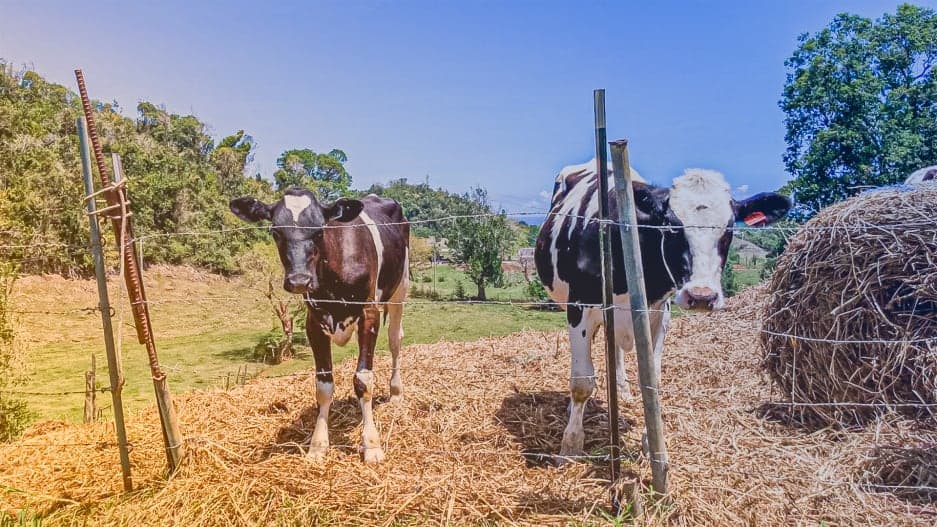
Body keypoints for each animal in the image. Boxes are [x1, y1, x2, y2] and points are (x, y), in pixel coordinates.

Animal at [229, 188, 408, 464]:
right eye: (276, 232)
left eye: (319, 231)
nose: (299, 280)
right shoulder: (313, 323)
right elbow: (323, 385)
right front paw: (318, 444)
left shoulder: (369, 314)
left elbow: (363, 380)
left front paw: (372, 445)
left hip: (400, 287)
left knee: (395, 340)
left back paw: (396, 391)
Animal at [532, 160, 788, 462]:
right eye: (672, 227)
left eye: (728, 231)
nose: (702, 296)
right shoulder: (579, 306)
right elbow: (582, 381)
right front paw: (571, 445)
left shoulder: (659, 312)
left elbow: (652, 379)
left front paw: (651, 442)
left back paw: (622, 389)